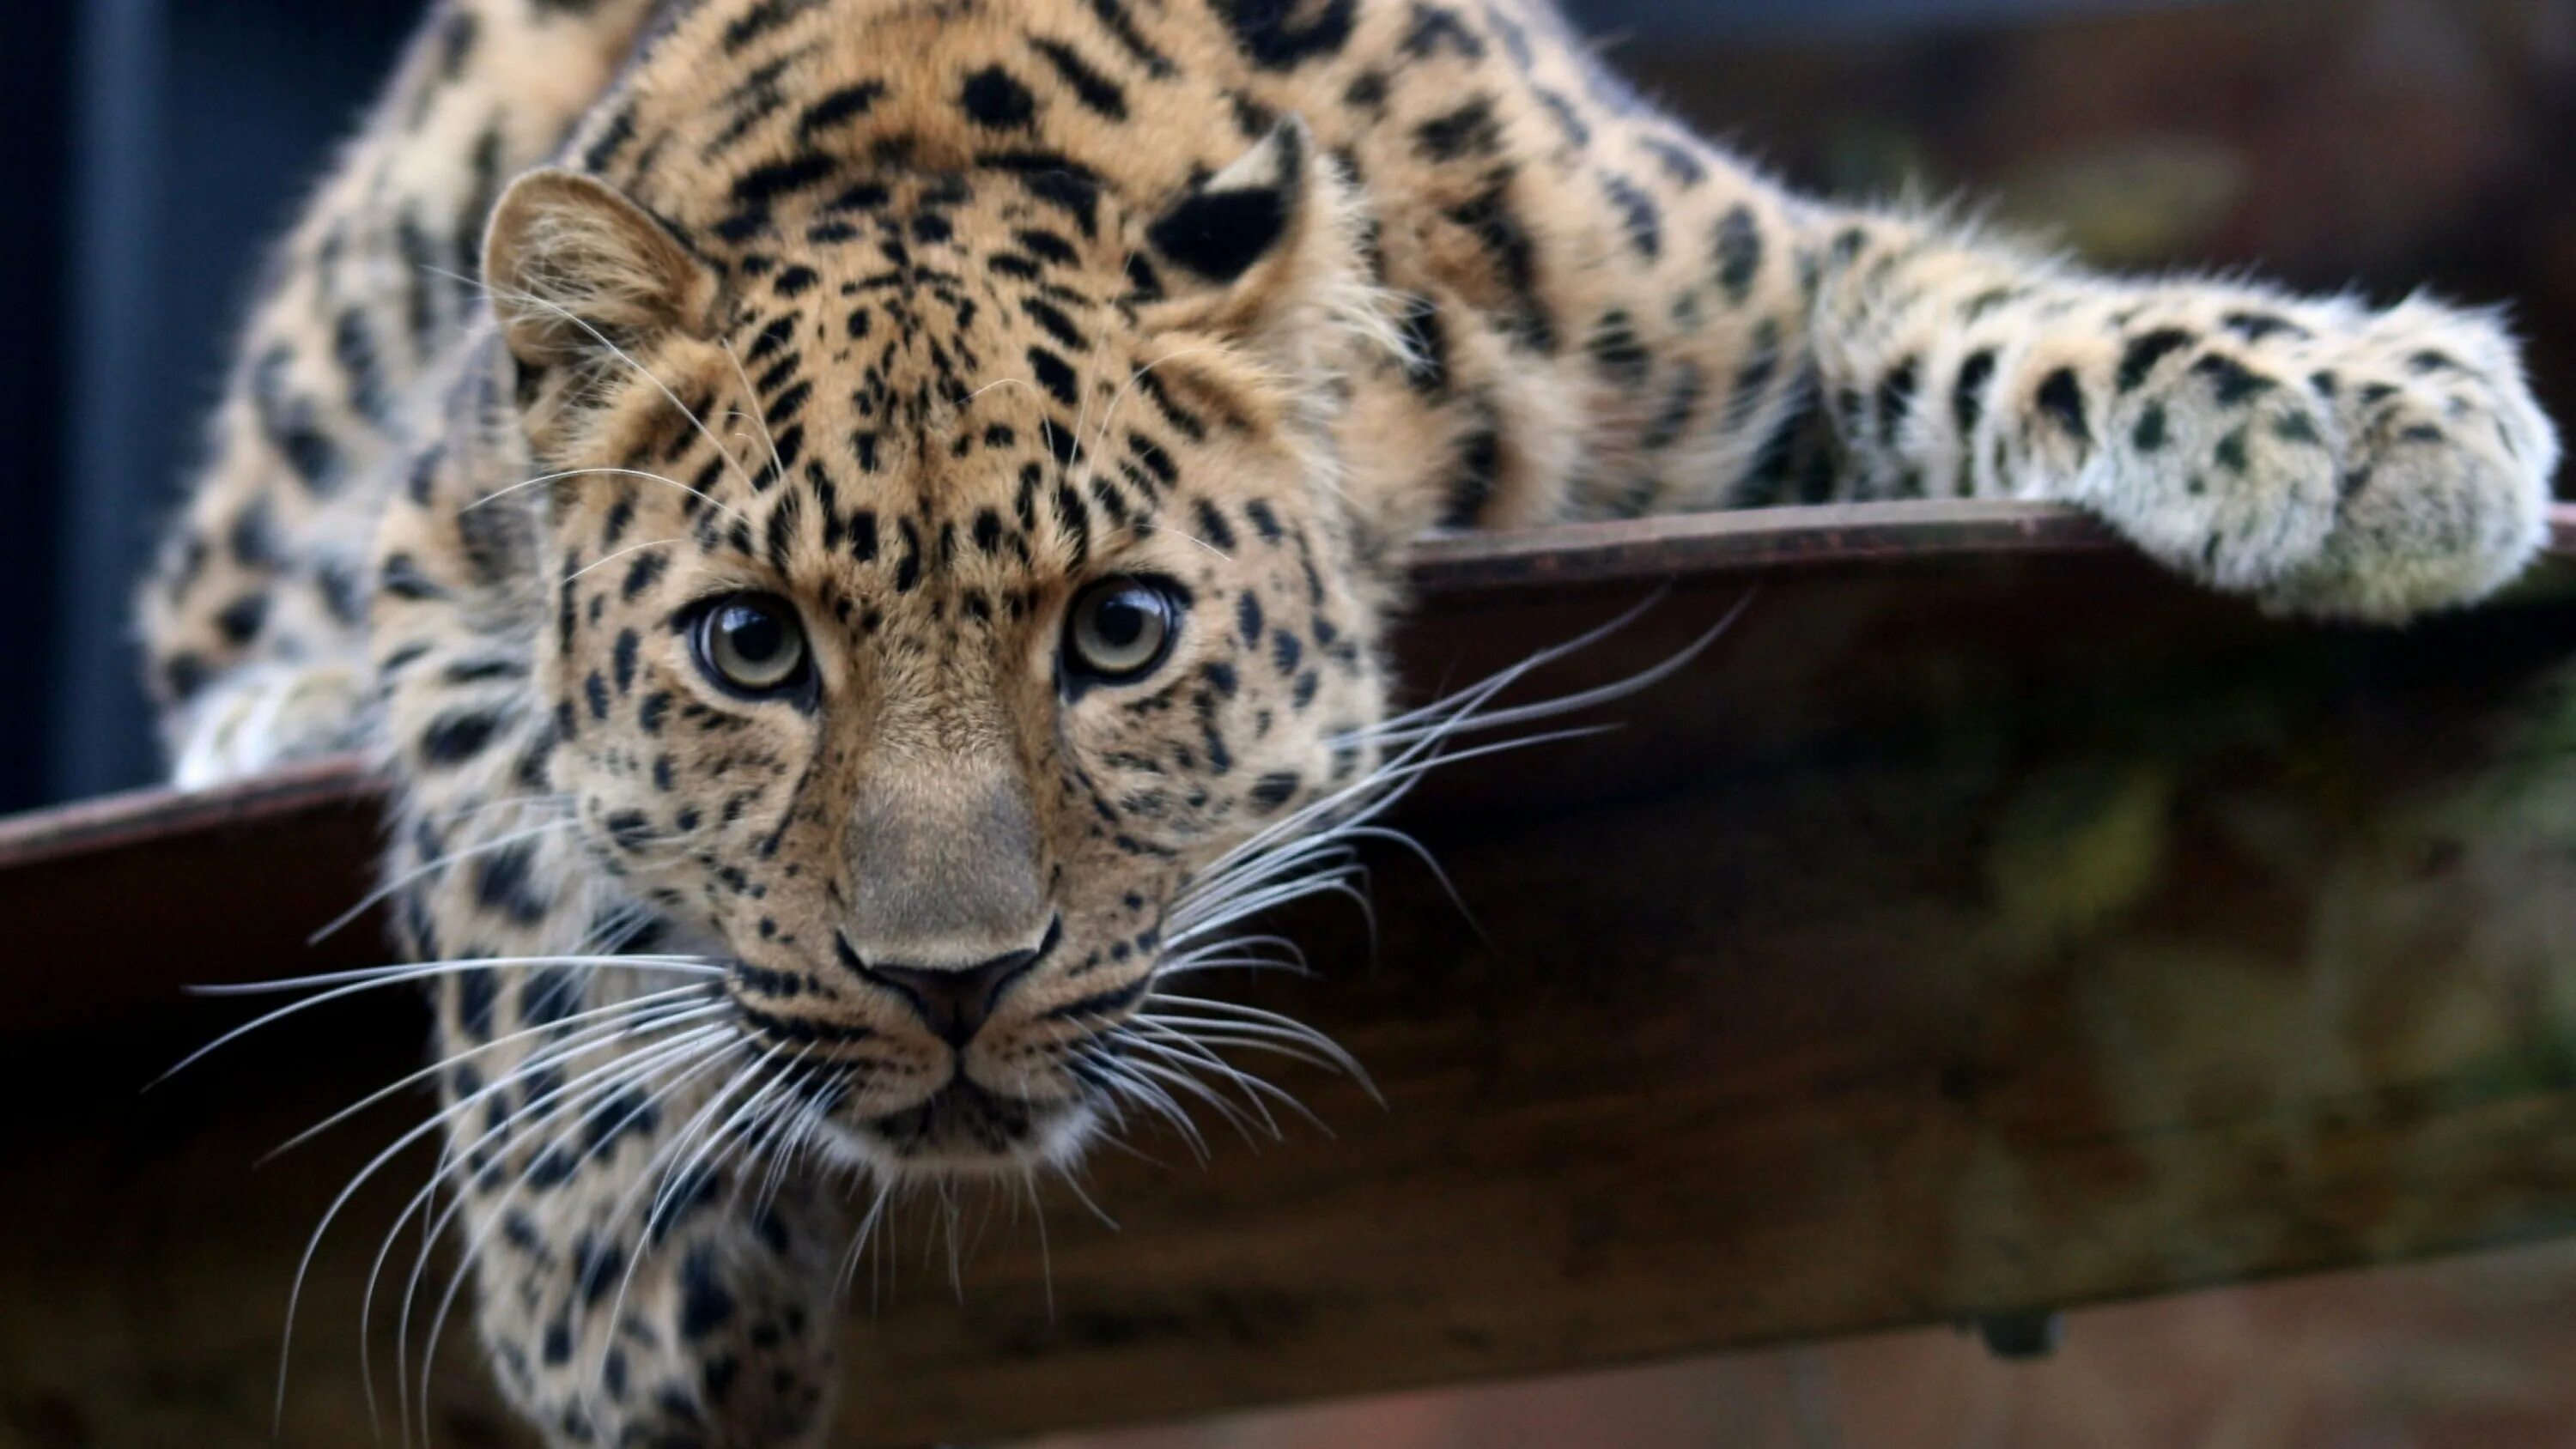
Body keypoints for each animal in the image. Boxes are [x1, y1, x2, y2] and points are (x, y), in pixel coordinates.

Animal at [136, 5, 2555, 1441]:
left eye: (1119, 632)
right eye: (750, 649)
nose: (948, 985)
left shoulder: (1746, 297)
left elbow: (1980, 312)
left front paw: (2373, 416)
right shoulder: (446, 555)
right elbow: (513, 869)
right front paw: (624, 1314)